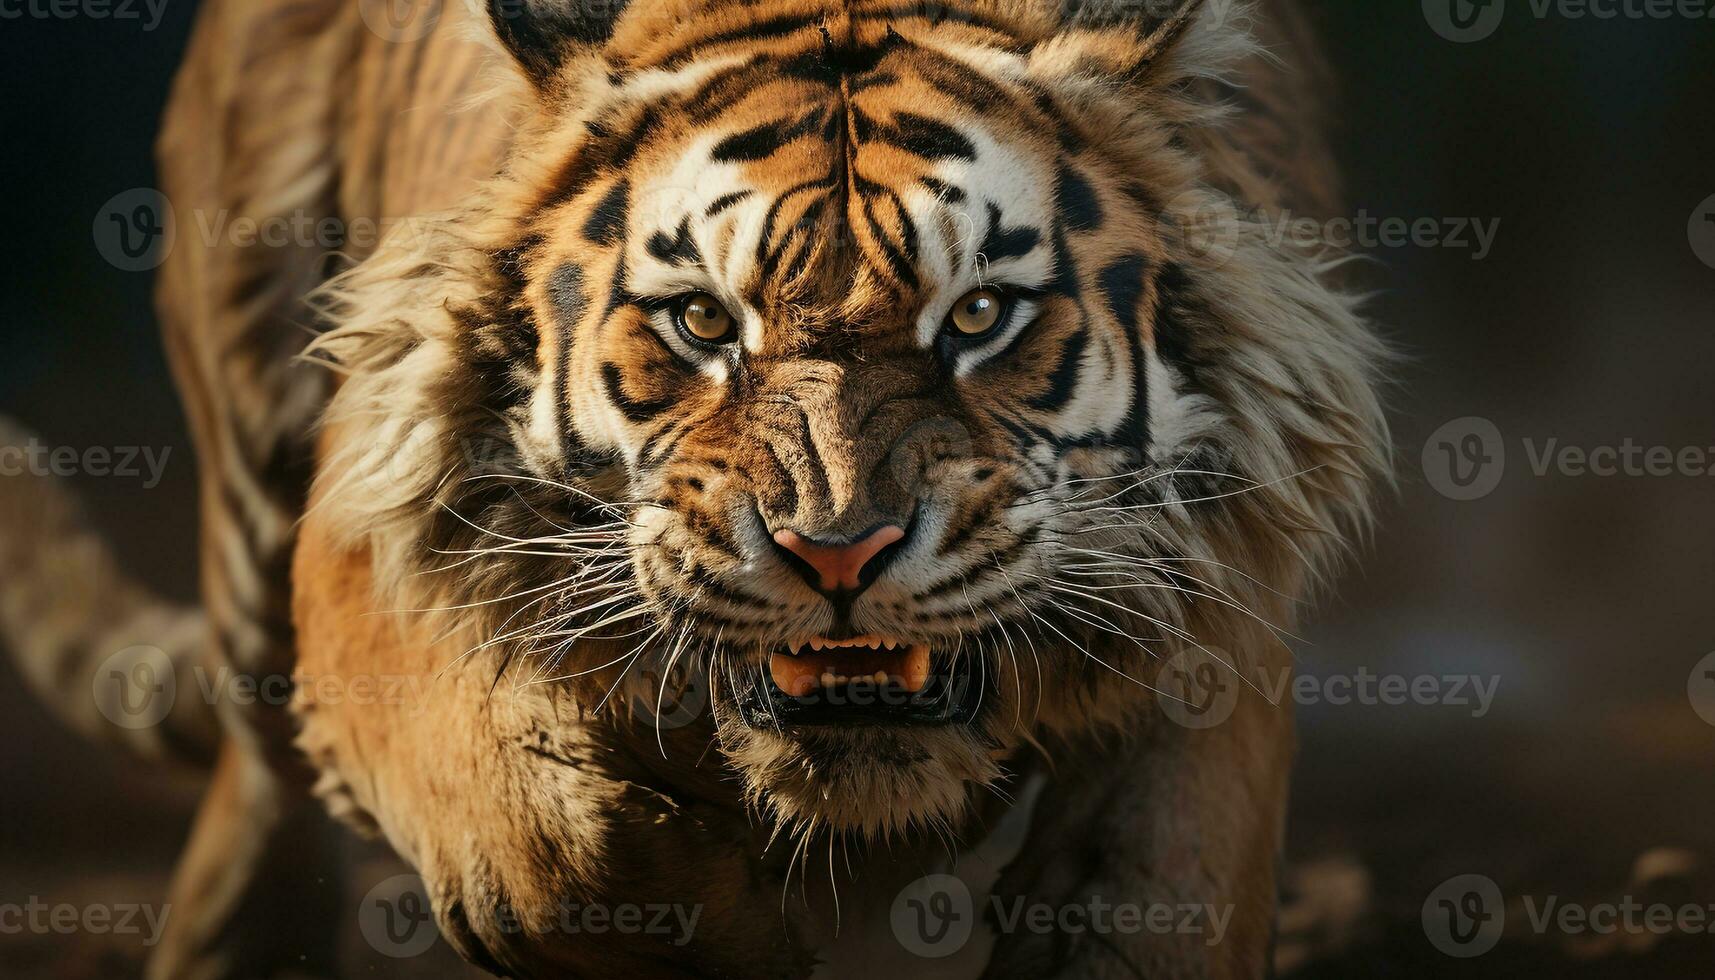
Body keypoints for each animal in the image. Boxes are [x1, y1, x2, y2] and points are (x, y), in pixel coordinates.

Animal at [0, 0, 1385, 974]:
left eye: (978, 314)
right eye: (704, 321)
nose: (838, 552)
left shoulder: (1212, 623)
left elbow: (1149, 898)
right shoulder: (368, 530)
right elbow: (536, 833)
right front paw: (714, 925)